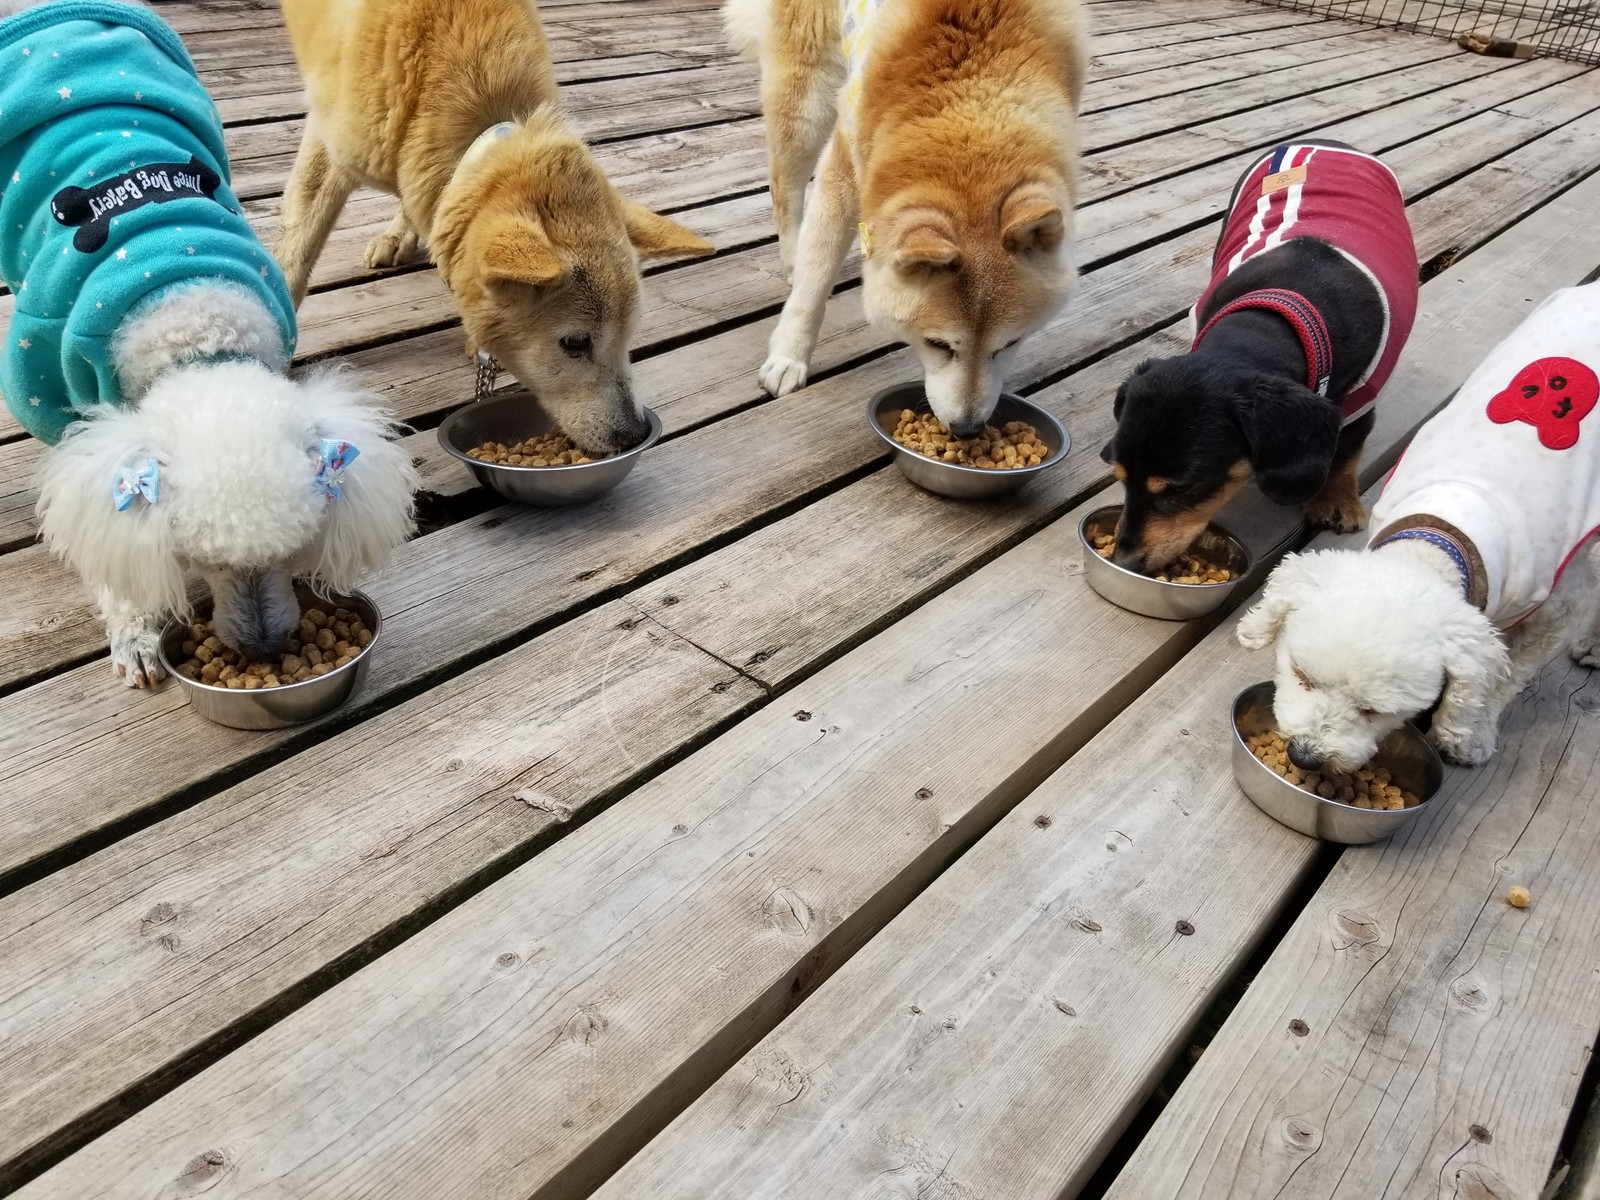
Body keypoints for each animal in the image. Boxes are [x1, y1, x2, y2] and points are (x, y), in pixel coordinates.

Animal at [0, 0, 417, 687]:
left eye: (296, 549)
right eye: (199, 560)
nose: (265, 649)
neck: (192, 326)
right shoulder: (54, 397)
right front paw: (135, 633)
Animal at [731, 0, 1086, 434]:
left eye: (1010, 343)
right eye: (938, 345)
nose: (966, 429)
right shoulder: (846, 161)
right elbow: (813, 285)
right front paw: (789, 357)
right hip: (808, 98)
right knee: (785, 188)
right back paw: (792, 258)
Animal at [1103, 140, 1419, 573]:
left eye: (1183, 489)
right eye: (1120, 476)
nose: (1125, 560)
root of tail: (1326, 143)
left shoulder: (1360, 402)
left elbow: (1345, 455)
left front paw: (1337, 502)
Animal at [1236, 283, 1600, 769]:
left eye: (1372, 711)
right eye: (1300, 673)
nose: (1305, 755)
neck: (1440, 538)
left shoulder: (1559, 607)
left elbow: (1510, 676)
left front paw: (1471, 734)